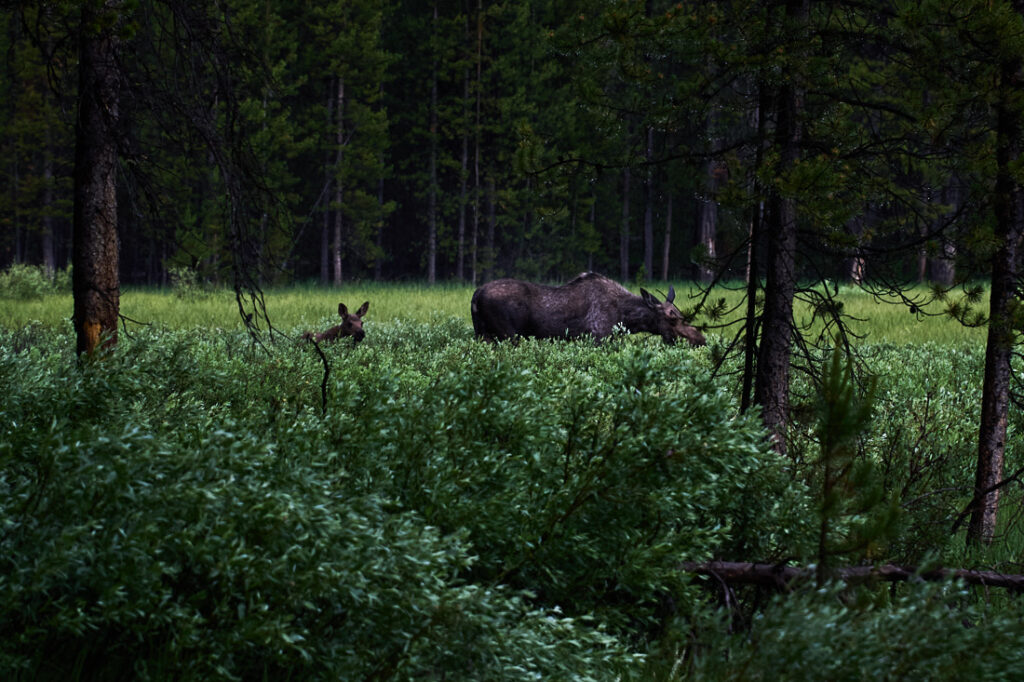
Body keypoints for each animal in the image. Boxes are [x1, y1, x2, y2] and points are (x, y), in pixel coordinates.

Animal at [471, 272, 705, 346]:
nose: (700, 340)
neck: (627, 319)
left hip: (482, 335)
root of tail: (476, 294)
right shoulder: (597, 338)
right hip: (507, 336)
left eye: (681, 314)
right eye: (671, 318)